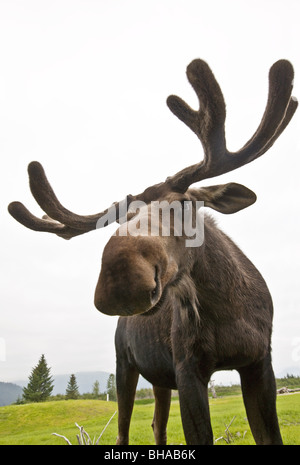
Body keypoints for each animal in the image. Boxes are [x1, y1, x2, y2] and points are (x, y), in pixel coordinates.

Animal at [8, 57, 296, 442]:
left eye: (186, 202)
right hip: (126, 365)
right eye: (120, 219)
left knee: (158, 424)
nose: (121, 279)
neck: (229, 312)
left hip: (160, 377)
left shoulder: (260, 361)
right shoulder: (188, 369)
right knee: (126, 429)